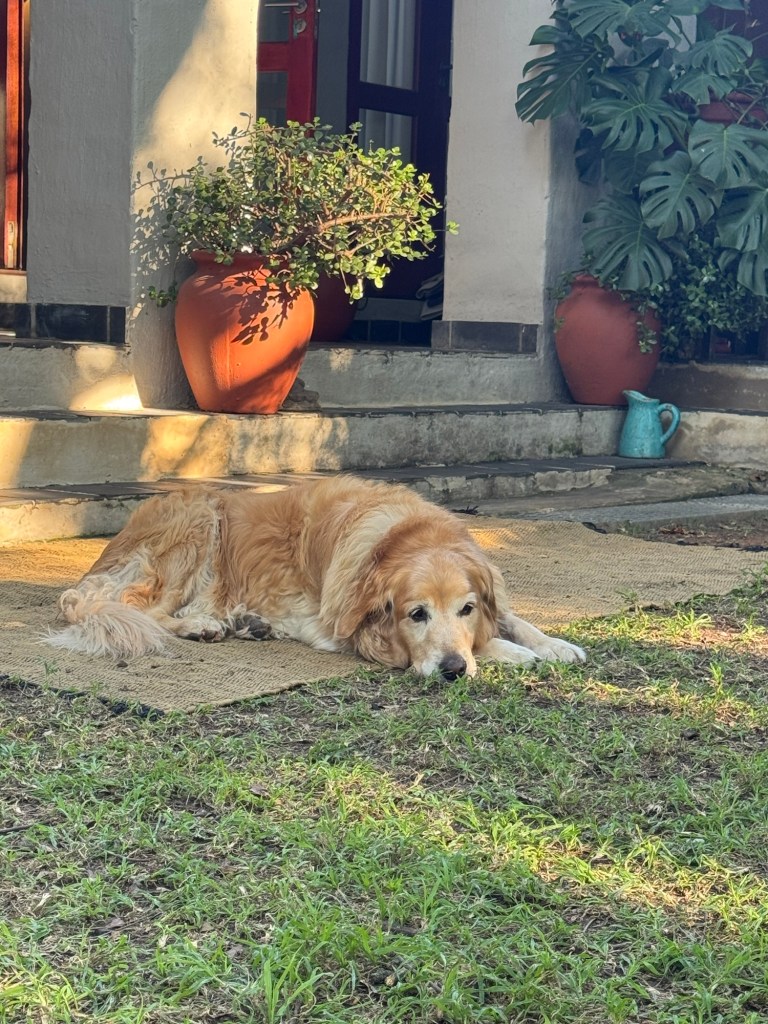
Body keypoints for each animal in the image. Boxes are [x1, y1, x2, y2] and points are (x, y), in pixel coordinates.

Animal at [47, 476, 586, 678]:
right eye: (416, 614)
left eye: (467, 608)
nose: (453, 670)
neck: (399, 536)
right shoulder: (342, 629)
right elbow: (488, 641)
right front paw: (510, 653)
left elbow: (513, 618)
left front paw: (555, 645)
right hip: (199, 522)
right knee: (147, 610)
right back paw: (203, 626)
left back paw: (245, 623)